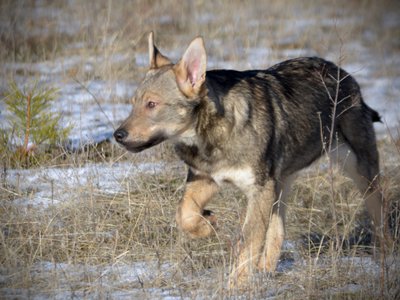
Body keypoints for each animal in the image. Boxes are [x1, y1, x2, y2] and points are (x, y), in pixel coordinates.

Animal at [115, 32, 388, 286]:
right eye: (133, 104)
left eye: (152, 104)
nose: (117, 135)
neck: (211, 136)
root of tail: (344, 74)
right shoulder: (205, 178)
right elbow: (185, 215)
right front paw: (208, 223)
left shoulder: (259, 190)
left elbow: (248, 242)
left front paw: (237, 285)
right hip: (281, 185)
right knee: (278, 232)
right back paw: (265, 272)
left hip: (358, 171)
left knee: (379, 212)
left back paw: (384, 257)